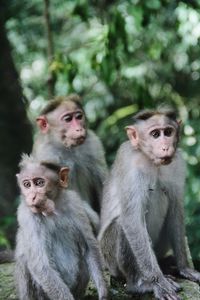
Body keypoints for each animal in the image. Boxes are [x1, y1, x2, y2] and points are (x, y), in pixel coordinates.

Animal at [15, 155, 108, 300]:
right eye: (27, 185)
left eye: (39, 183)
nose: (32, 197)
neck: (54, 210)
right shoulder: (27, 217)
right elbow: (41, 265)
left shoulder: (75, 203)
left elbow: (89, 247)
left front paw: (103, 292)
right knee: (25, 260)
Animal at [98, 108, 200, 300]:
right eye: (155, 134)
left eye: (168, 132)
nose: (165, 146)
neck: (150, 160)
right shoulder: (130, 164)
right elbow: (132, 220)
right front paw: (158, 282)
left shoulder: (178, 163)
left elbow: (176, 210)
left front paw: (184, 268)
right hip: (110, 259)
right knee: (122, 225)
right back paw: (139, 284)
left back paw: (166, 264)